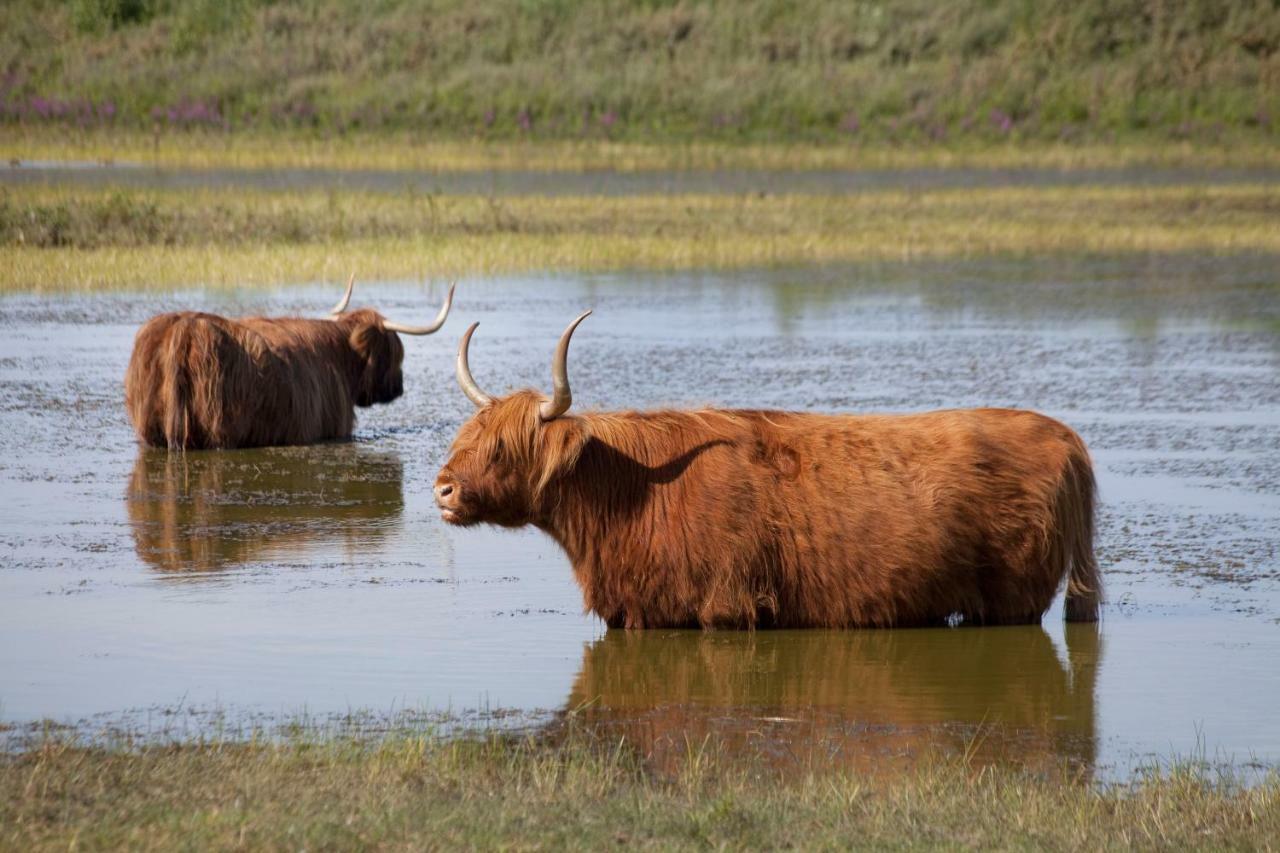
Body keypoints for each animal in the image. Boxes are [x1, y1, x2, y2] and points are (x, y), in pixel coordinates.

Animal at [432, 313, 1100, 630]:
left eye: (501, 449)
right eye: (466, 438)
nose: (442, 487)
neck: (630, 496)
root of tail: (1065, 437)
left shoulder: (724, 606)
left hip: (1014, 595)